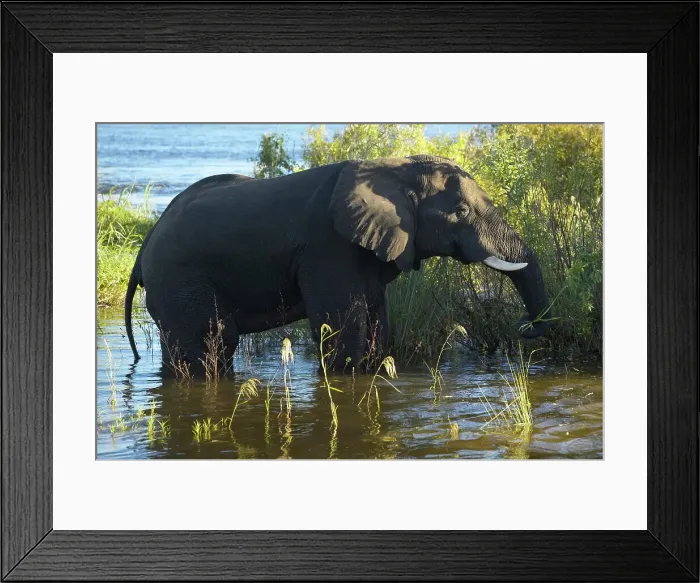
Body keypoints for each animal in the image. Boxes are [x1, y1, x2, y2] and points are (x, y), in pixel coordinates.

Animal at [125, 156, 551, 374]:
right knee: (212, 341)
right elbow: (345, 329)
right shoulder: (327, 247)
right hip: (179, 278)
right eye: (461, 211)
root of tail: (143, 249)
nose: (525, 328)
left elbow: (379, 325)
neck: (392, 170)